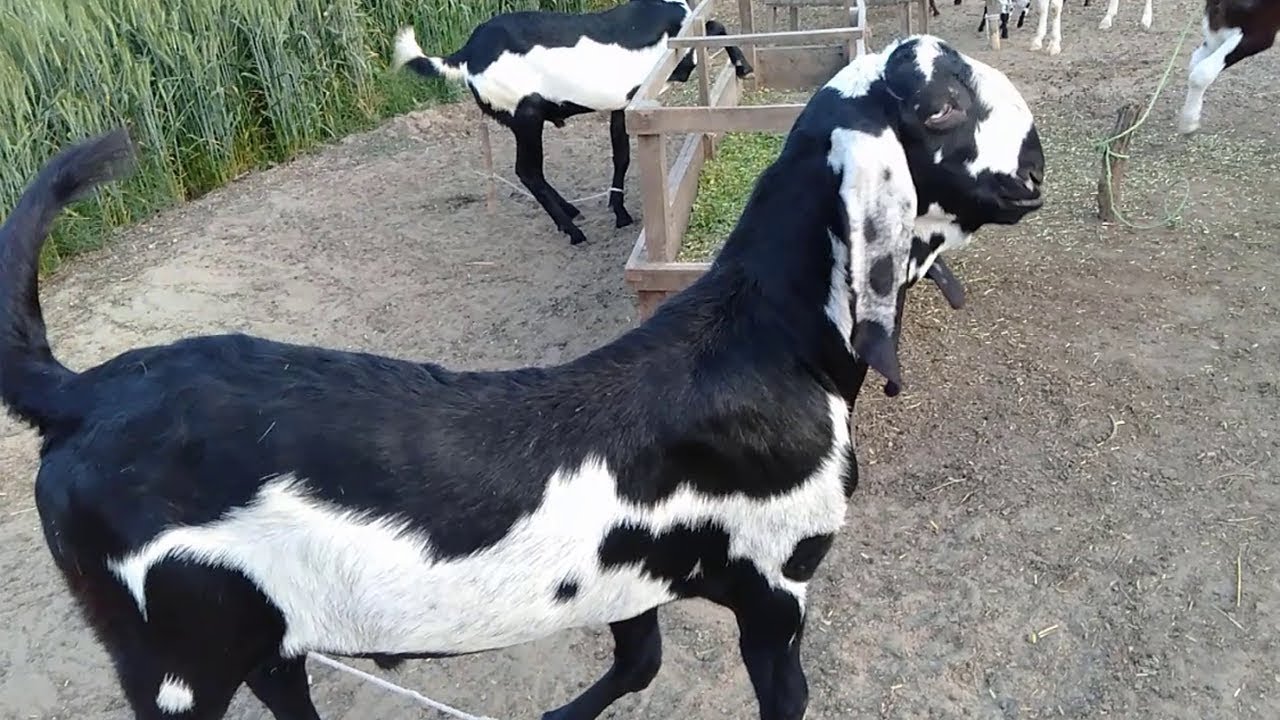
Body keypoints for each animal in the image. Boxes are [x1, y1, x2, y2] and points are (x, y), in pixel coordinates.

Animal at [7, 35, 1043, 720]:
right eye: (939, 106)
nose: (1037, 155)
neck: (765, 346)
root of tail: (80, 394)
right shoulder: (776, 583)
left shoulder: (629, 581)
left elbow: (639, 661)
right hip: (171, 662)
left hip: (260, 633)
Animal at [390, 0, 754, 246]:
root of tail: (466, 56)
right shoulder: (678, 60)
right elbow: (716, 27)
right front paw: (743, 67)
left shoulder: (622, 105)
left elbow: (621, 153)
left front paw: (618, 210)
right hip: (526, 116)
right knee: (528, 171)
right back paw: (573, 230)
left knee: (532, 173)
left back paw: (572, 212)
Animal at [1178, 0, 1278, 134]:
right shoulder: (1217, 28)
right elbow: (1196, 64)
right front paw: (1191, 120)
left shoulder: (1259, 33)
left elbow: (1203, 72)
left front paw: (1188, 121)